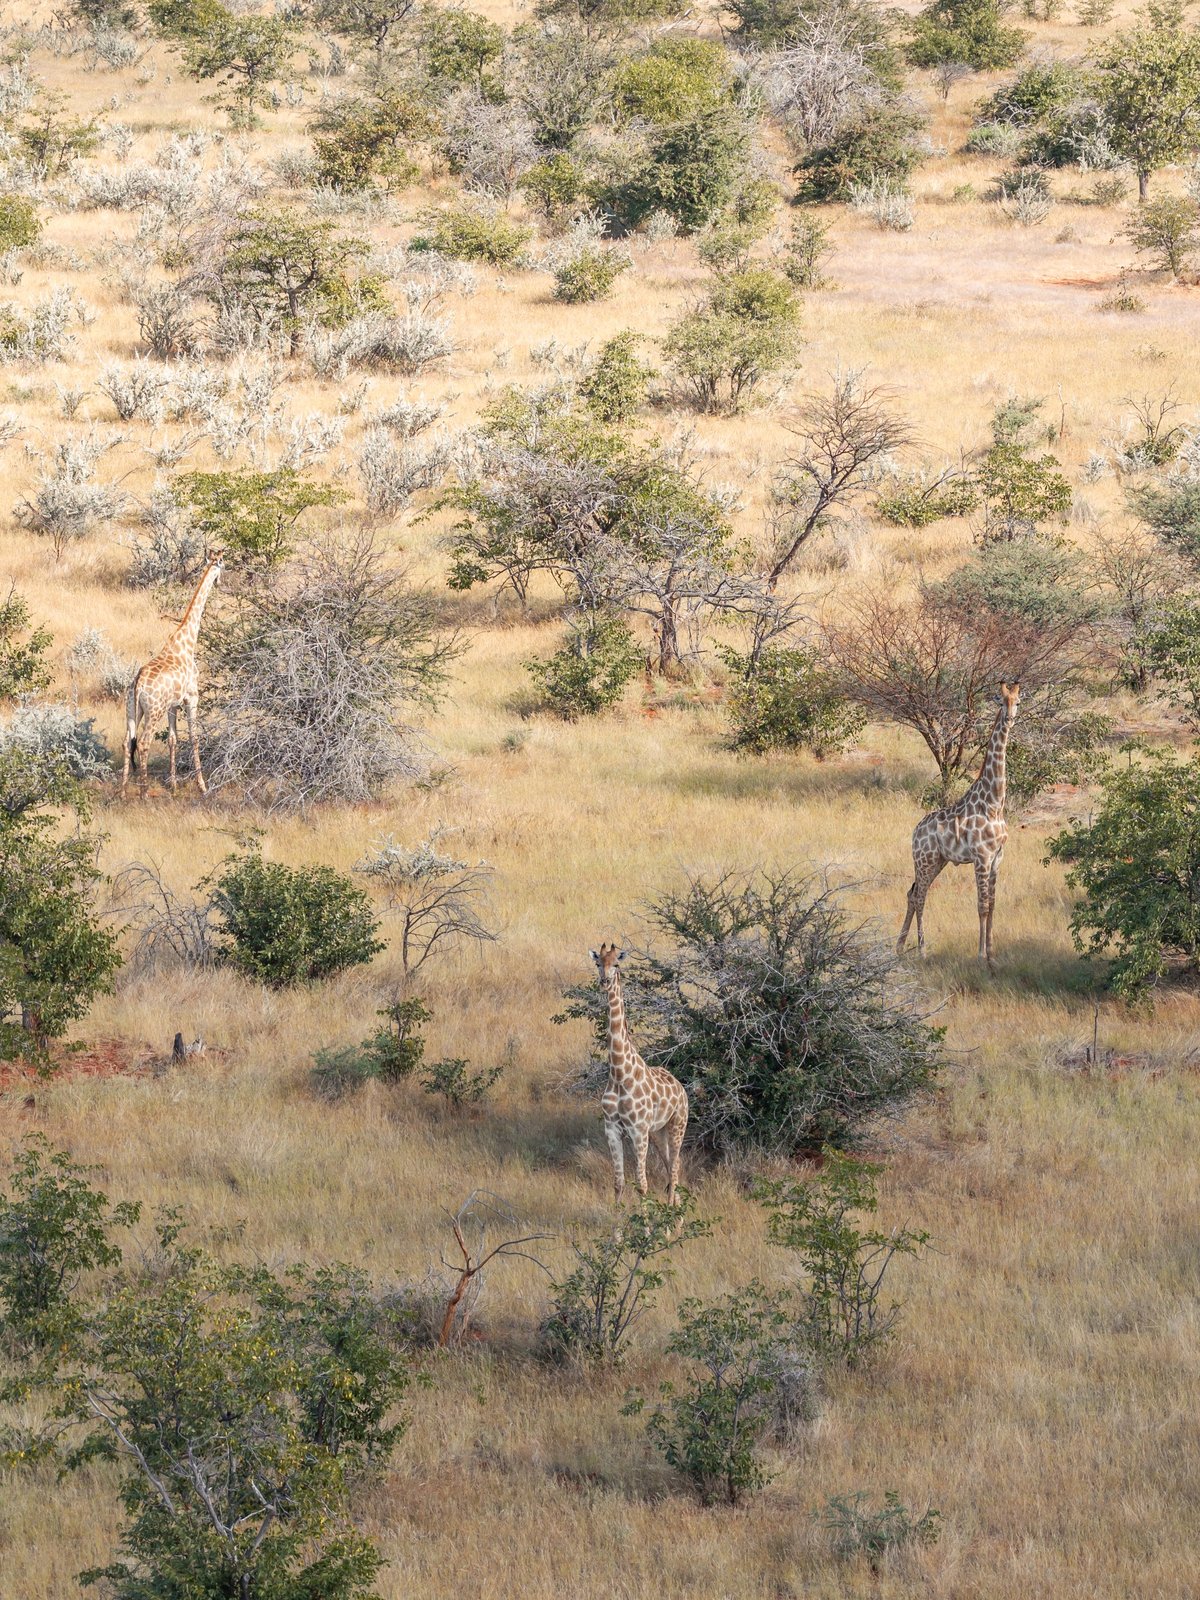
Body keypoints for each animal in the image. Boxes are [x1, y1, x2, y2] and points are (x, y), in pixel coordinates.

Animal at [121, 550, 224, 799]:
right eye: (223, 564)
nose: (220, 582)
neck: (186, 641)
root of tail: (138, 684)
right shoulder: (192, 697)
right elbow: (194, 738)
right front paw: (202, 786)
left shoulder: (173, 705)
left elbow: (172, 739)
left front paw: (175, 785)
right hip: (153, 711)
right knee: (144, 742)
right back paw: (144, 792)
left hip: (132, 709)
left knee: (127, 741)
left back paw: (123, 791)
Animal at [590, 943, 689, 1205]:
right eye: (598, 963)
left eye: (616, 964)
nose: (604, 981)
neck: (619, 1073)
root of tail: (681, 1088)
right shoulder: (612, 1129)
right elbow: (618, 1183)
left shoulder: (637, 1129)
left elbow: (642, 1185)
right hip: (657, 1132)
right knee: (671, 1166)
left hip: (678, 1124)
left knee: (675, 1168)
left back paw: (672, 1215)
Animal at [897, 682, 1021, 971]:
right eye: (1000, 701)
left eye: (1018, 701)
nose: (1010, 718)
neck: (994, 803)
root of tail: (915, 832)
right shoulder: (981, 856)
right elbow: (982, 905)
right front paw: (980, 957)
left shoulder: (998, 857)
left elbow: (993, 904)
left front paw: (993, 956)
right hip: (925, 859)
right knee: (920, 896)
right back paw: (922, 951)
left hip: (937, 861)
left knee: (912, 893)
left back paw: (899, 947)